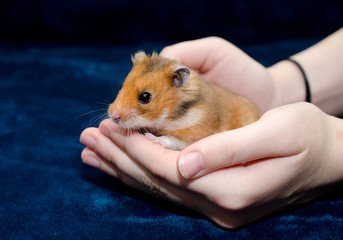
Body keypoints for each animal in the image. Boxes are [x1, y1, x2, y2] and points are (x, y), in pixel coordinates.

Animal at [109, 51, 262, 150]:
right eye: (121, 86)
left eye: (145, 97)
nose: (113, 116)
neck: (173, 116)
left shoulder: (196, 133)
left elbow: (171, 139)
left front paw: (151, 138)